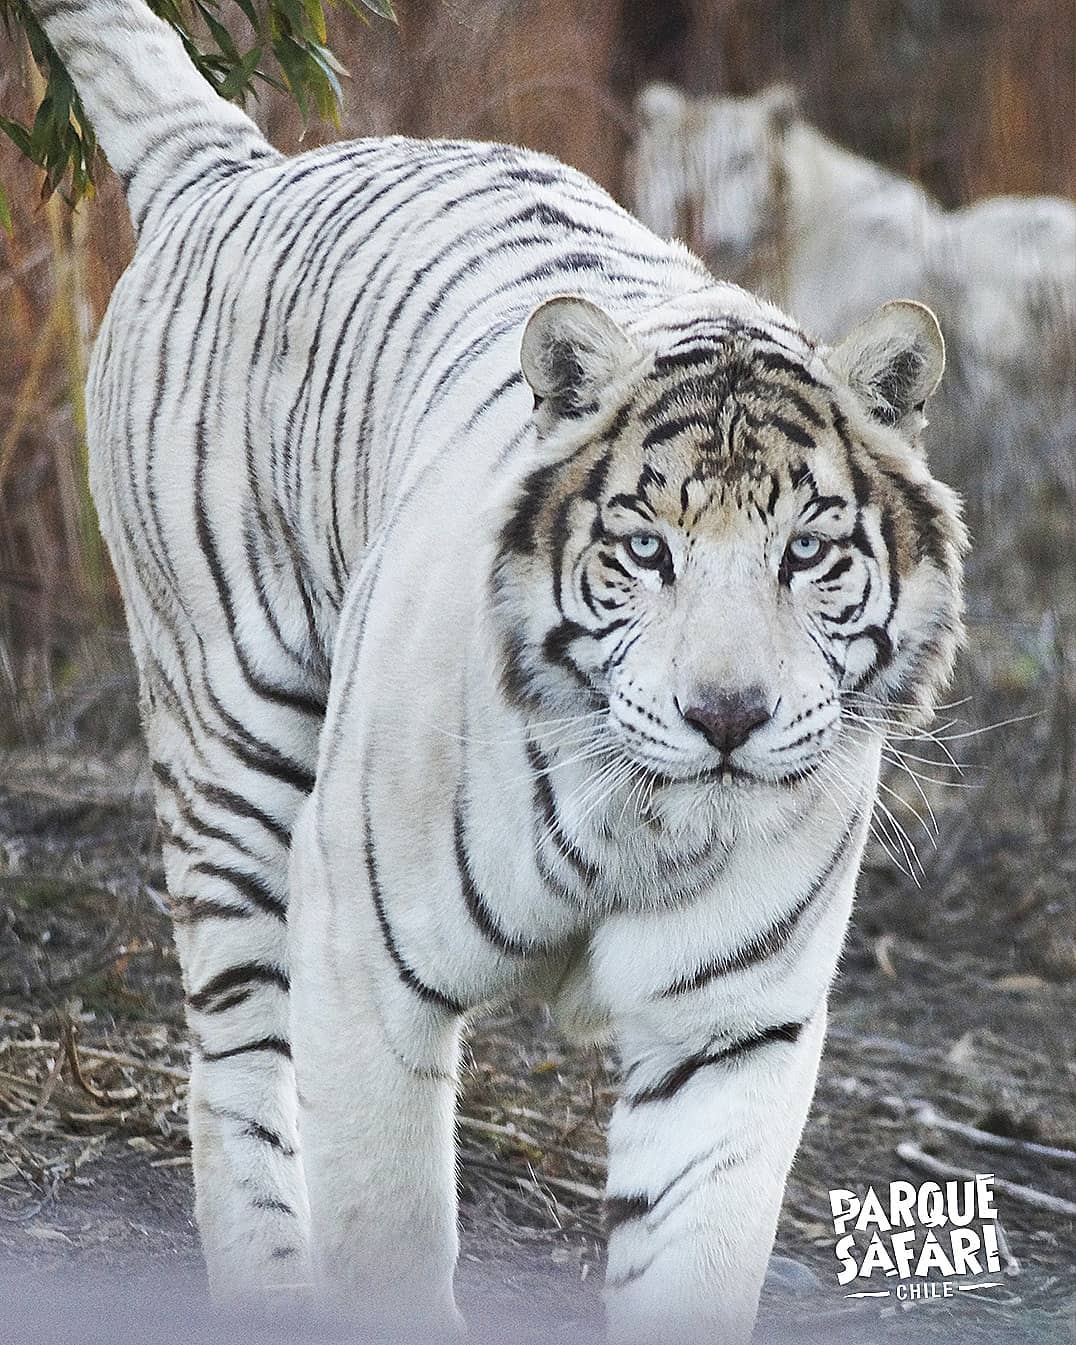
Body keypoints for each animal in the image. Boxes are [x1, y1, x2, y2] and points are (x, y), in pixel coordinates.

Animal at [28, 2, 966, 1341]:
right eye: (646, 549)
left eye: (805, 553)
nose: (727, 715)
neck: (646, 822)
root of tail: (236, 168)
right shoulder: (365, 963)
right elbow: (386, 1236)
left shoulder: (731, 1029)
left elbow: (691, 1252)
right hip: (233, 751)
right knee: (236, 1062)